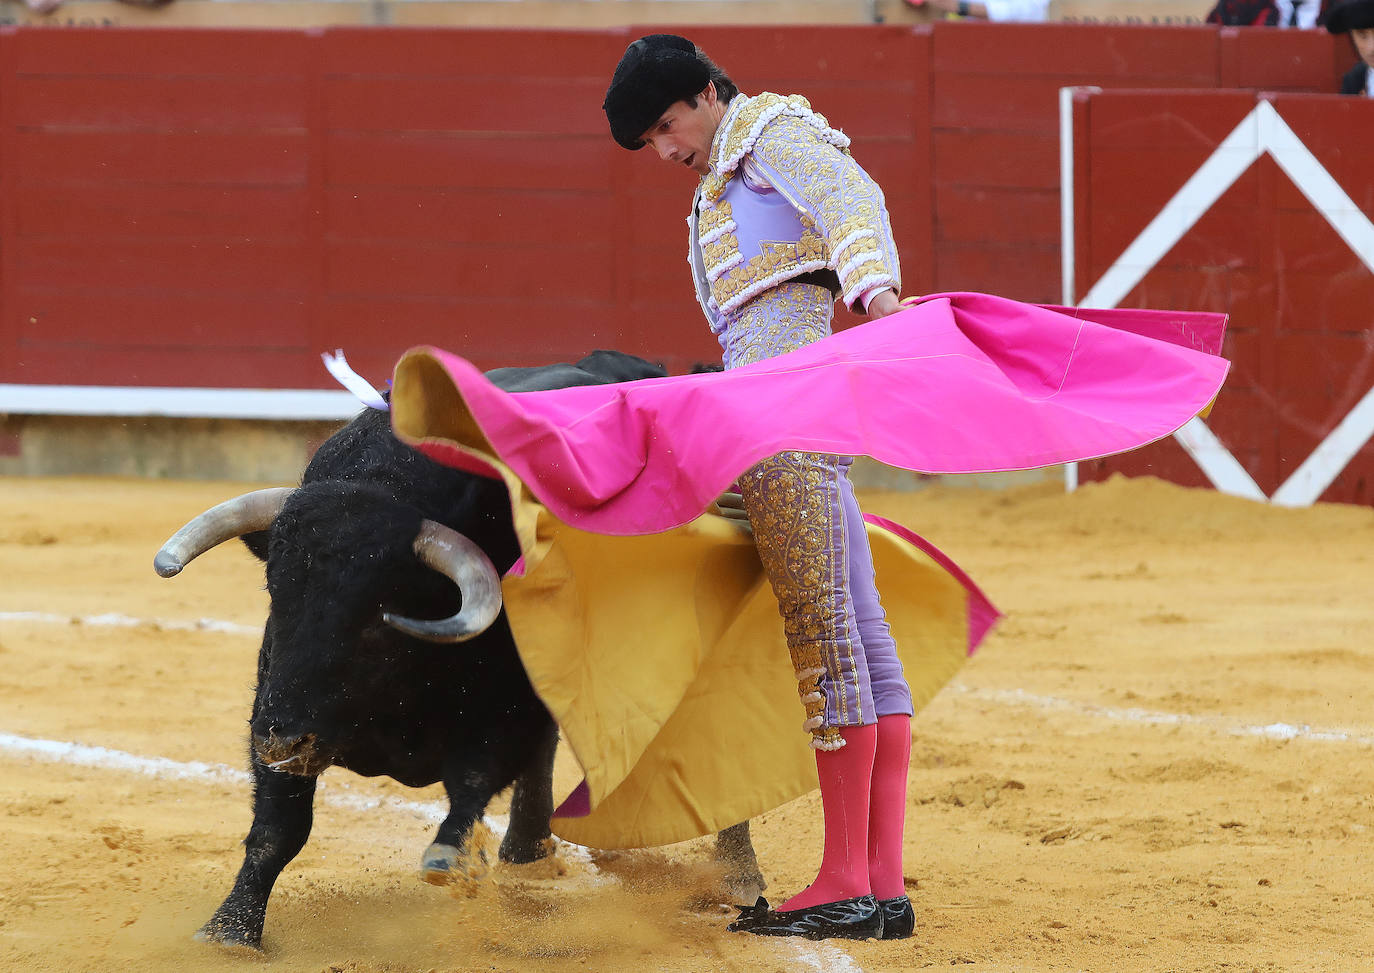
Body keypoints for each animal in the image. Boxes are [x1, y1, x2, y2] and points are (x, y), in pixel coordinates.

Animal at [158, 349, 774, 951]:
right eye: (277, 594)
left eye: (376, 620)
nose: (283, 739)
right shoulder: (274, 697)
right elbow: (277, 827)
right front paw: (230, 930)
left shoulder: (506, 708)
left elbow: (474, 776)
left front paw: (448, 858)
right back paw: (528, 857)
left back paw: (737, 878)